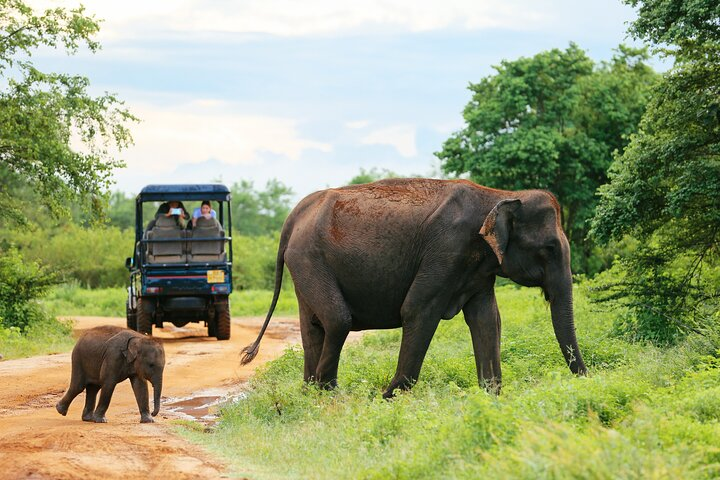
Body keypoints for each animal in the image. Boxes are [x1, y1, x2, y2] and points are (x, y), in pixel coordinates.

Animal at [241, 178, 587, 397]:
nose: (586, 379)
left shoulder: (477, 267)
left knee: (314, 325)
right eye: (549, 249)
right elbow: (418, 310)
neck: (499, 194)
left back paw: (310, 393)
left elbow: (487, 319)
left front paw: (491, 396)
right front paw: (387, 397)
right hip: (309, 259)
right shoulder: (447, 249)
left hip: (304, 262)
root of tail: (294, 214)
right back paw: (328, 392)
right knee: (338, 321)